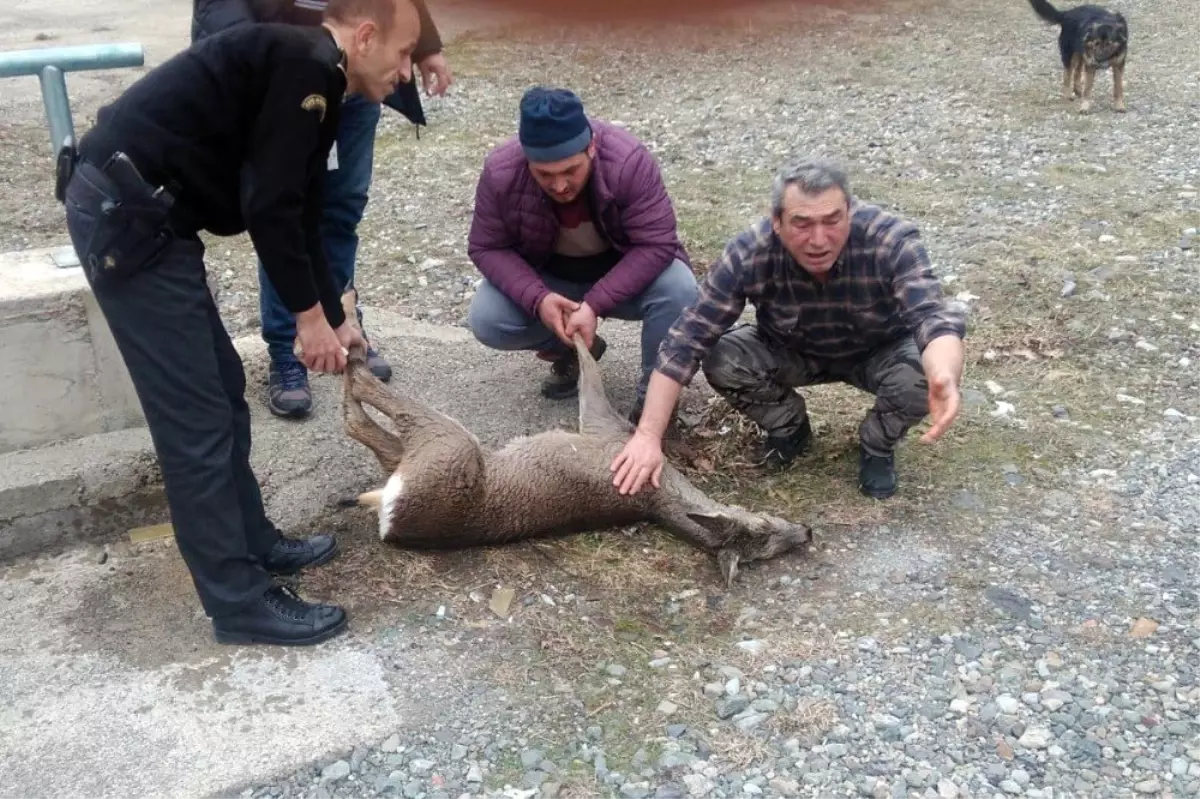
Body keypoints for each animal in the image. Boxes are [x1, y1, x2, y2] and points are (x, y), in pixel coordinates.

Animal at [333, 289, 811, 583]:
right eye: (765, 527)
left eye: (766, 544)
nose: (805, 531)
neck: (656, 490)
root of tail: (392, 525)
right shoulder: (609, 431)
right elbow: (586, 364)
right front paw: (572, 321)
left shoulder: (608, 429)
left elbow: (588, 375)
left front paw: (576, 325)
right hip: (434, 455)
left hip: (447, 451)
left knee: (359, 418)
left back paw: (350, 340)